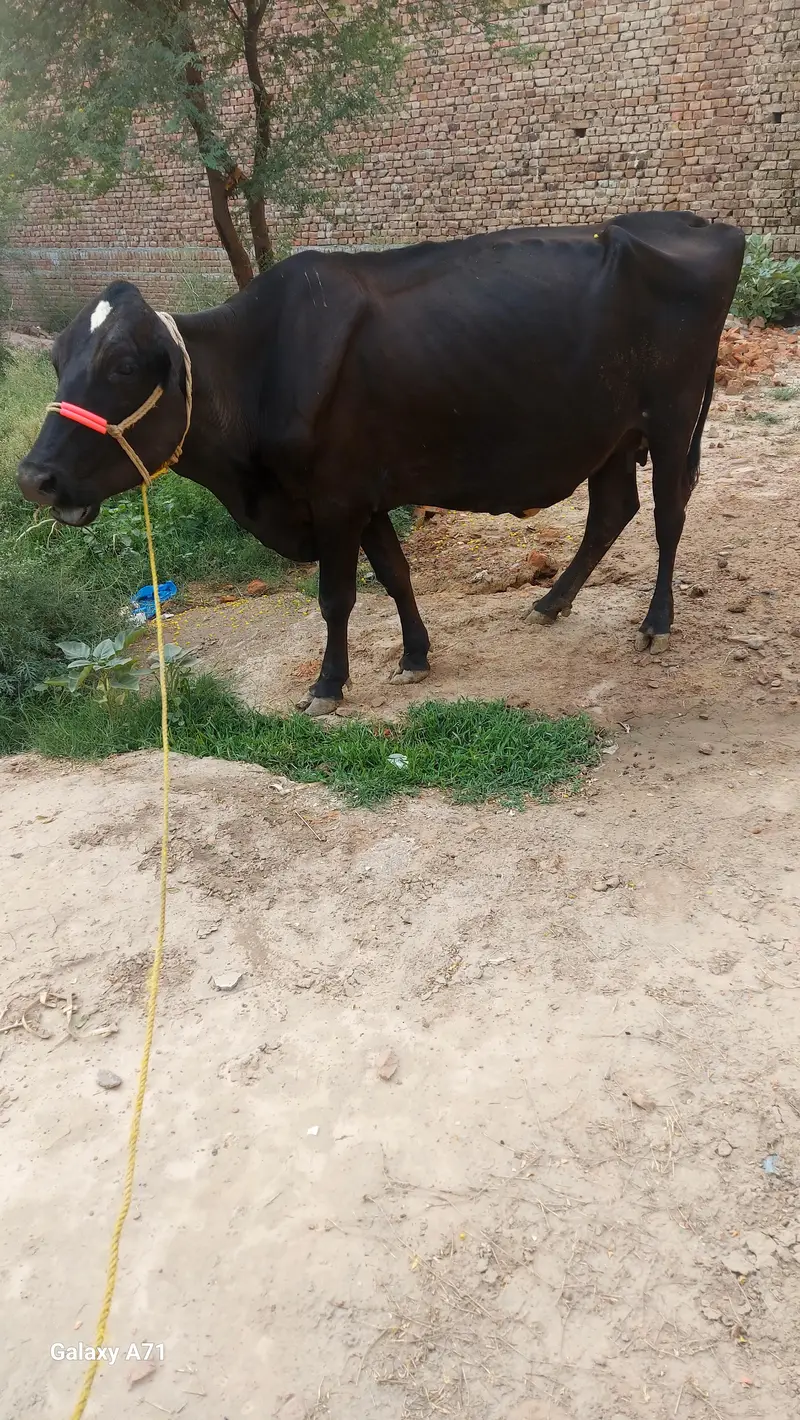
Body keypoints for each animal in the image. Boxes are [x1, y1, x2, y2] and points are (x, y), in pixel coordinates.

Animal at [17, 211, 745, 716]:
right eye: (55, 358)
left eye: (123, 365)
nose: (34, 478)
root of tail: (700, 224)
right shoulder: (362, 494)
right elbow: (395, 575)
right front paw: (416, 655)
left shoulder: (334, 498)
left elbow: (337, 597)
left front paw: (328, 685)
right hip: (612, 434)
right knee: (613, 510)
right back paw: (550, 602)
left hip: (672, 417)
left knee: (669, 517)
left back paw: (655, 623)